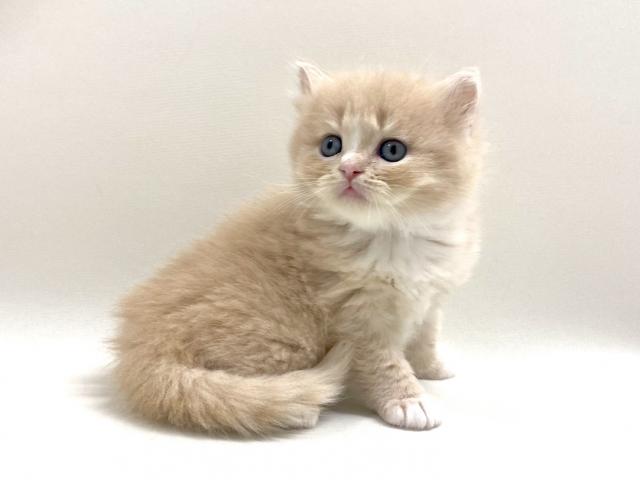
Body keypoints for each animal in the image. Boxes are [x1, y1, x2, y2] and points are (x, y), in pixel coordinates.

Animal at [112, 62, 484, 436]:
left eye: (392, 150)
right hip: (280, 334)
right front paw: (407, 401)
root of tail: (141, 349)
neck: (394, 236)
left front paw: (432, 369)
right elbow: (384, 364)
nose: (348, 168)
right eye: (331, 145)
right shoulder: (356, 318)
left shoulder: (432, 297)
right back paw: (296, 407)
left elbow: (426, 335)